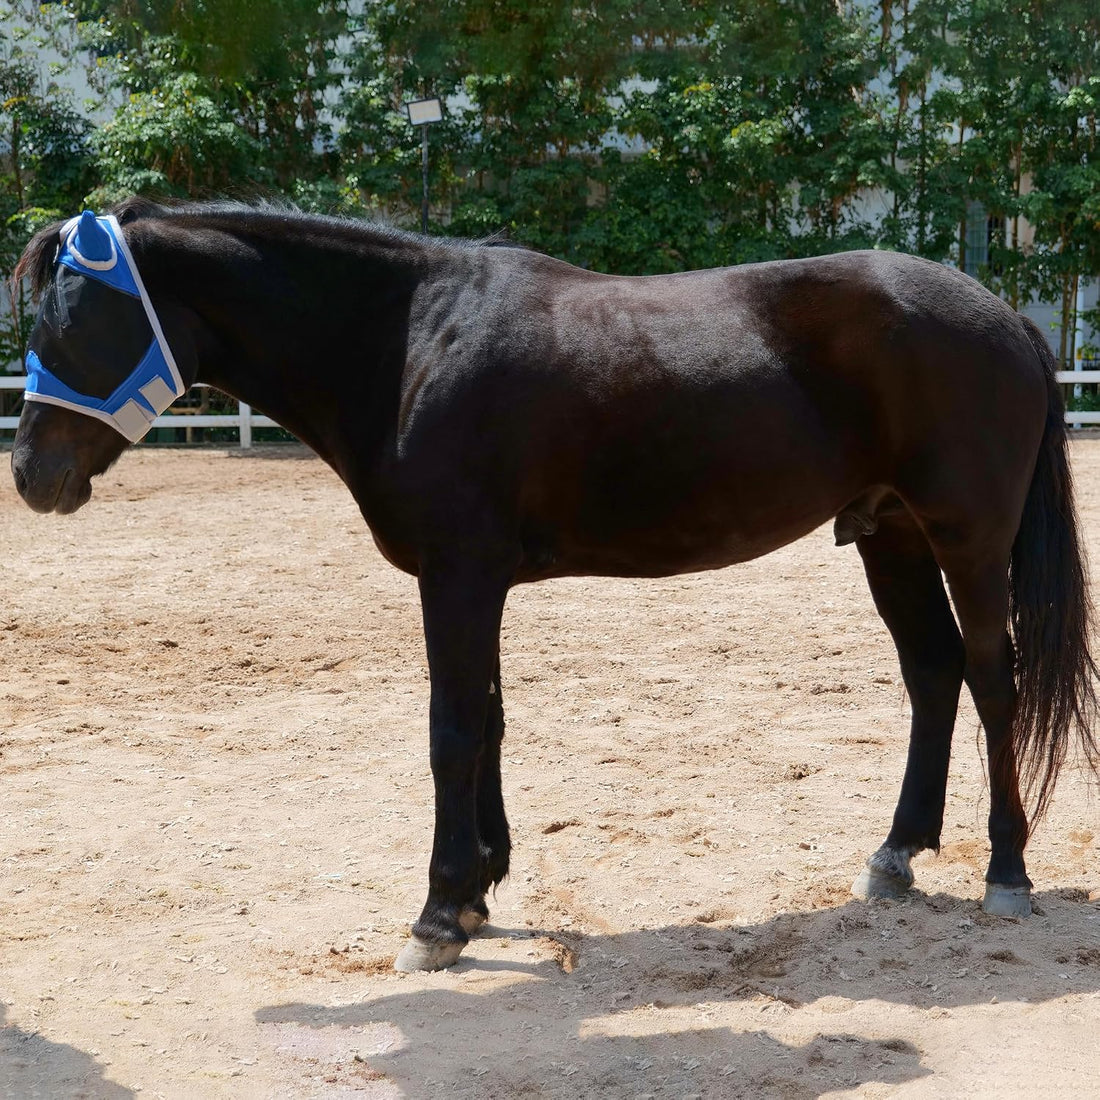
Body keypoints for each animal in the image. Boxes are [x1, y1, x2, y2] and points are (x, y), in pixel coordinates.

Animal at [11, 199, 1098, 972]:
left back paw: (1006, 870)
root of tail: (1007, 318)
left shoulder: (456, 576)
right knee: (932, 675)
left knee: (991, 682)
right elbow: (489, 717)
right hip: (889, 537)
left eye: (80, 323)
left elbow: (453, 729)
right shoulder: (477, 581)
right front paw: (481, 885)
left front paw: (438, 912)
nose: (29, 474)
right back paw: (896, 855)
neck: (410, 342)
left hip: (966, 540)